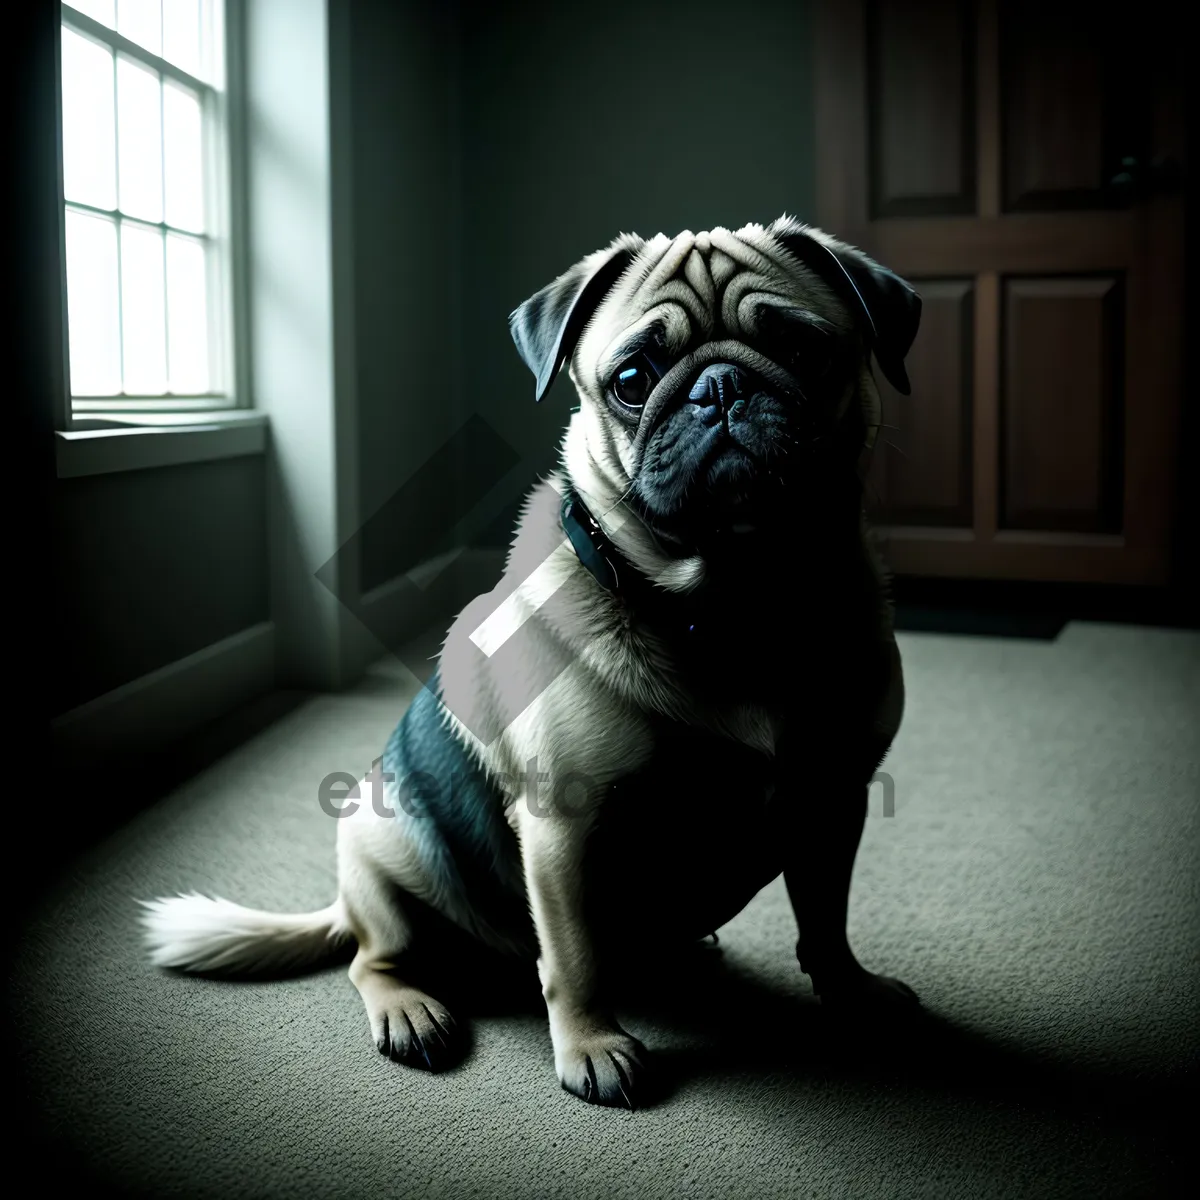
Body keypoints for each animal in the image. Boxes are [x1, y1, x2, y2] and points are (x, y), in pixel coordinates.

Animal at [145, 216, 921, 1104]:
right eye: (632, 379)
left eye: (803, 350)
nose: (720, 386)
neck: (735, 602)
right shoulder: (562, 831)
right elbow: (575, 958)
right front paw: (591, 1045)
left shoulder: (834, 800)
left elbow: (826, 920)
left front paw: (851, 993)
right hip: (387, 845)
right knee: (373, 960)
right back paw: (410, 1009)